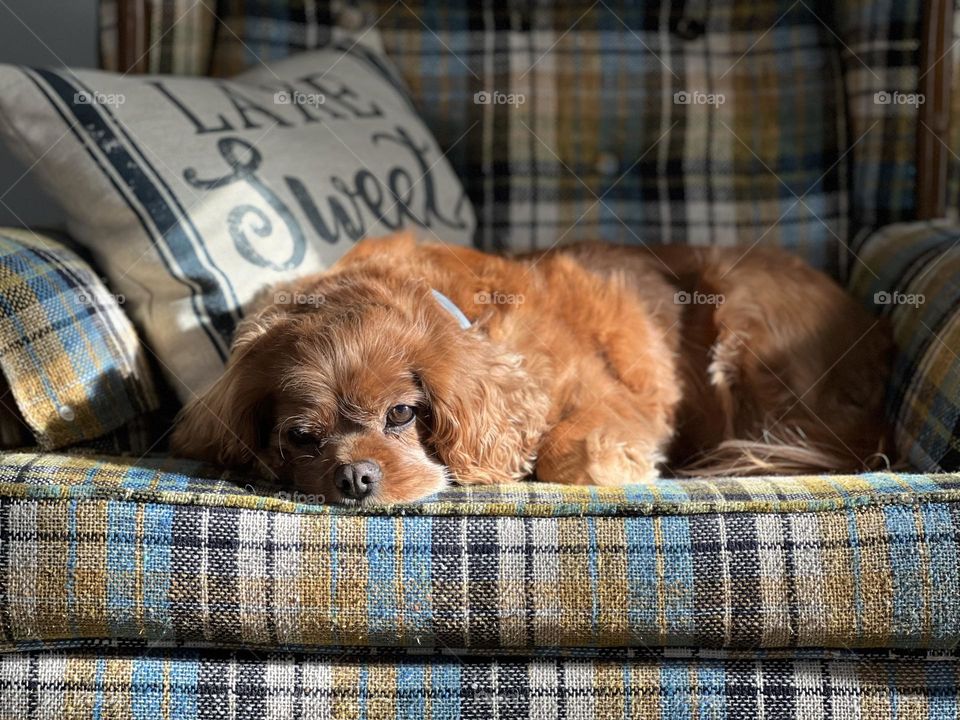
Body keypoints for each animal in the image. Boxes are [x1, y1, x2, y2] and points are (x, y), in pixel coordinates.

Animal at [171, 233, 892, 504]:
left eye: (402, 413)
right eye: (301, 438)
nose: (355, 479)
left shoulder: (613, 401)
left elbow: (570, 452)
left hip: (741, 314)